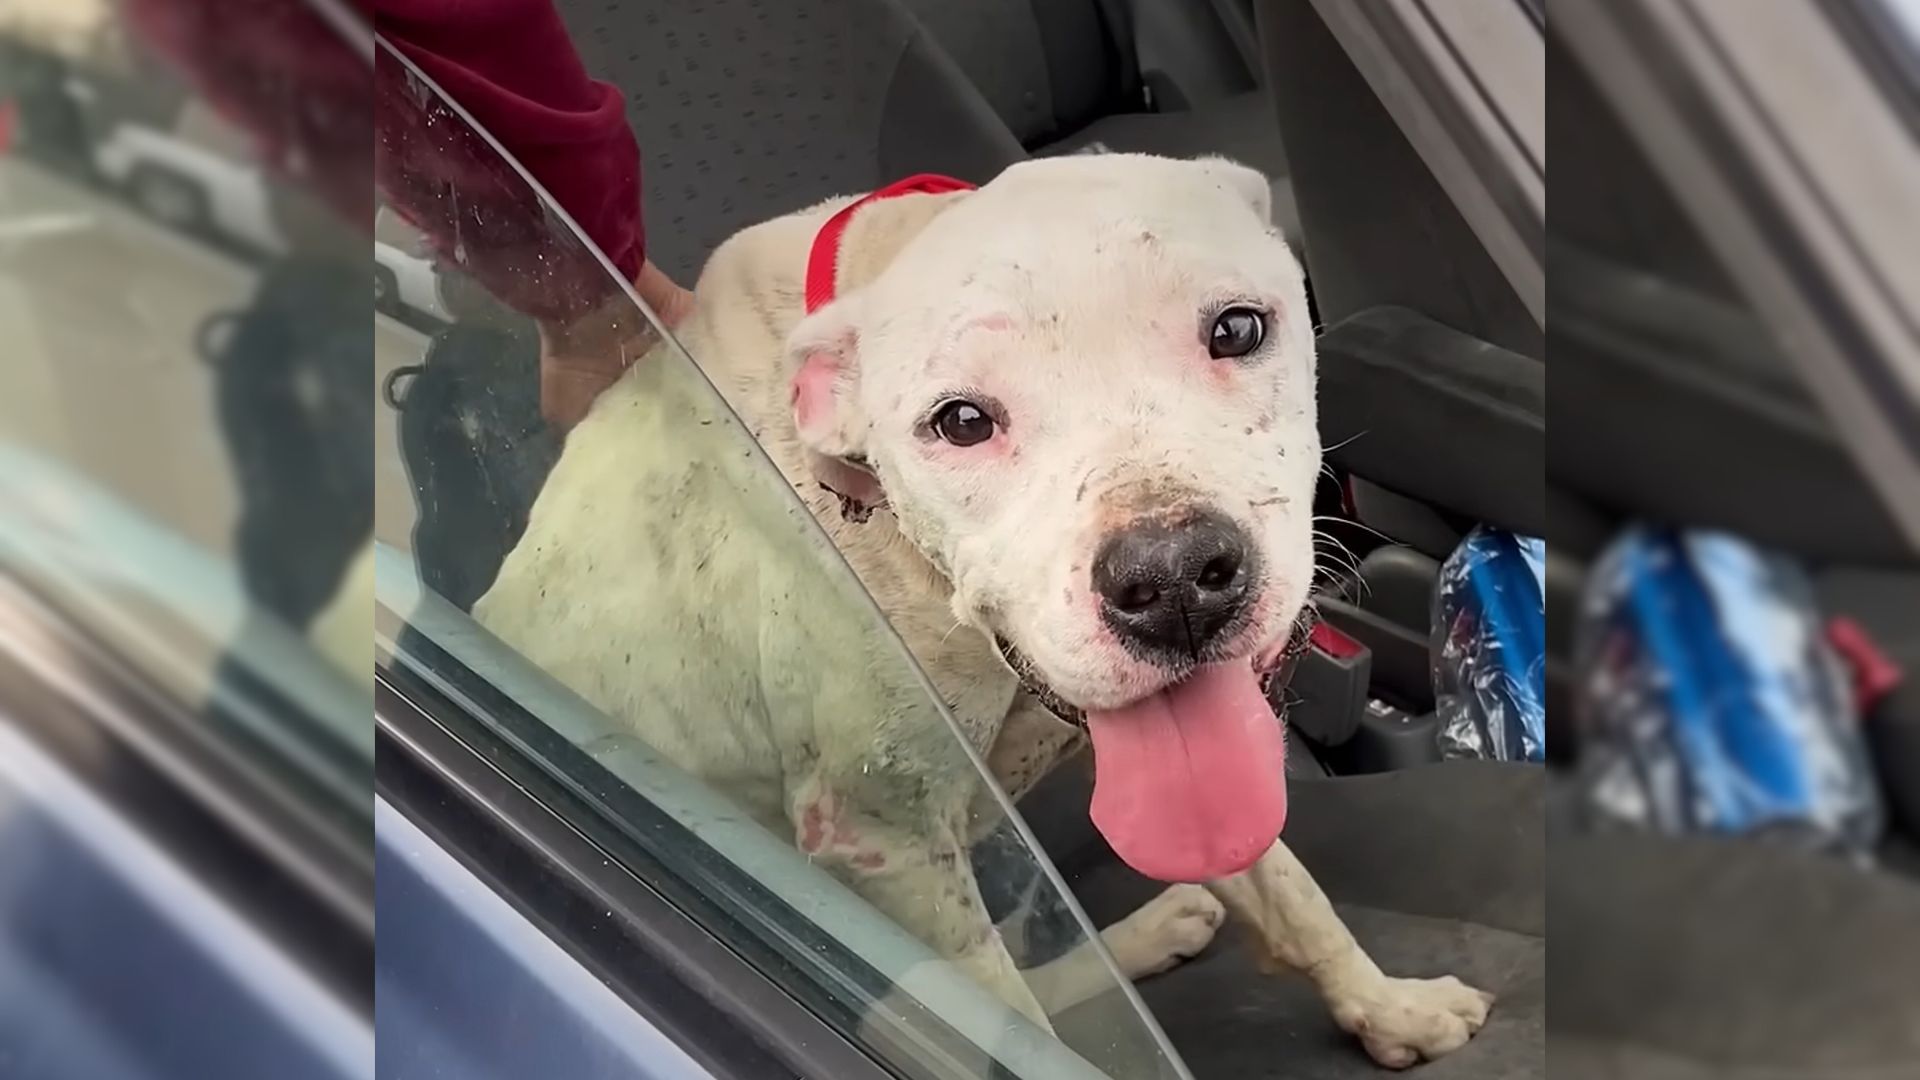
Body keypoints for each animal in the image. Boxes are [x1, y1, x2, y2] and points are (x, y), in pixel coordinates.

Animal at [472, 155, 1489, 1060]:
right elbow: (1007, 1025)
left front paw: (1388, 1008)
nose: (1171, 578)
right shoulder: (881, 840)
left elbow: (1286, 881)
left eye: (1237, 328)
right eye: (960, 421)